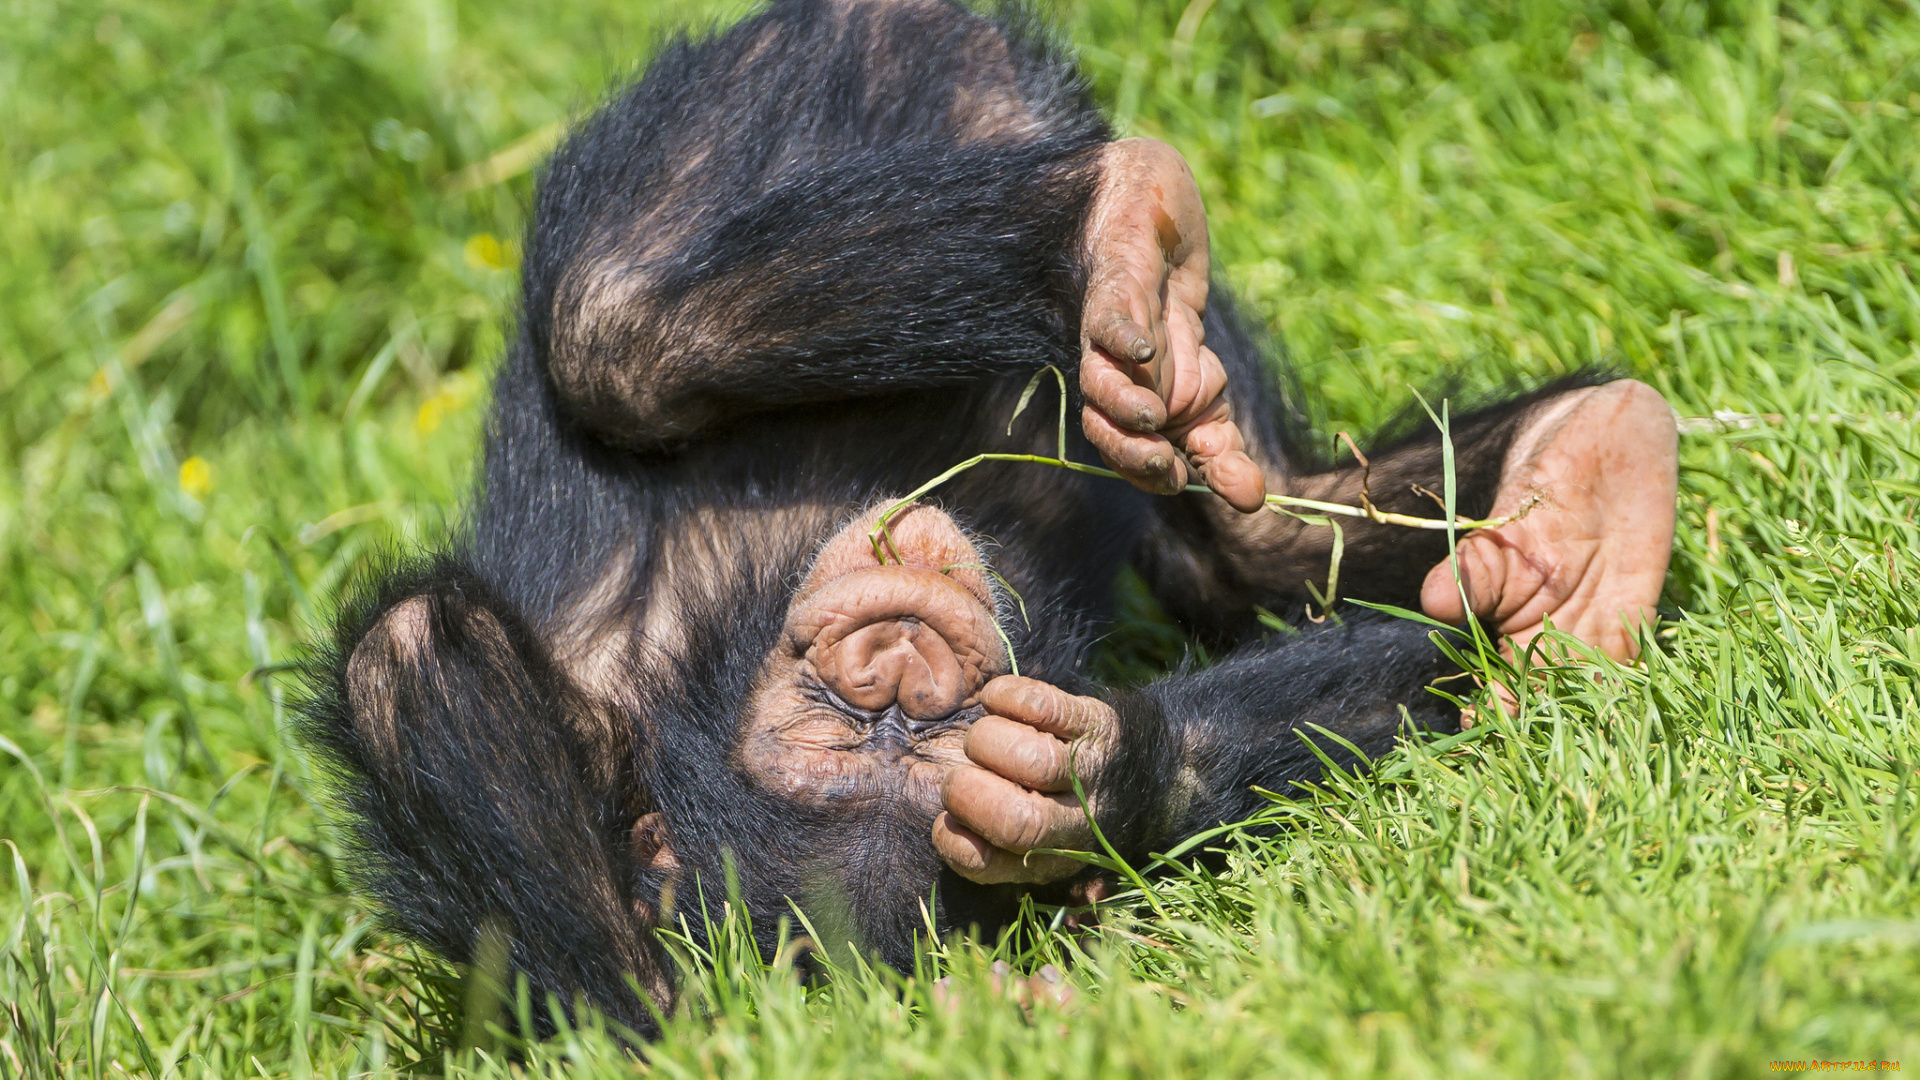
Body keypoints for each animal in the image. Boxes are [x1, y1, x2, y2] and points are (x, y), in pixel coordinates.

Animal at [291, 0, 1674, 1045]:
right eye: (850, 732)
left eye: (923, 728)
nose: (900, 666)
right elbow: (420, 672)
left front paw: (1081, 778)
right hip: (745, 108)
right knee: (608, 327)